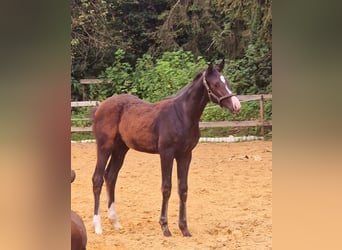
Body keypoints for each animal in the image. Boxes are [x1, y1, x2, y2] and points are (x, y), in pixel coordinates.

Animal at [91, 60, 240, 236]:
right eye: (216, 84)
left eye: (227, 82)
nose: (236, 105)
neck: (182, 115)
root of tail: (100, 108)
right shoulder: (166, 153)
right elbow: (166, 188)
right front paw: (165, 227)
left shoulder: (185, 155)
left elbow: (183, 189)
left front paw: (184, 229)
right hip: (104, 146)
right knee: (98, 179)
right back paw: (98, 226)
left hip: (120, 149)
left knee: (111, 176)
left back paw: (115, 222)